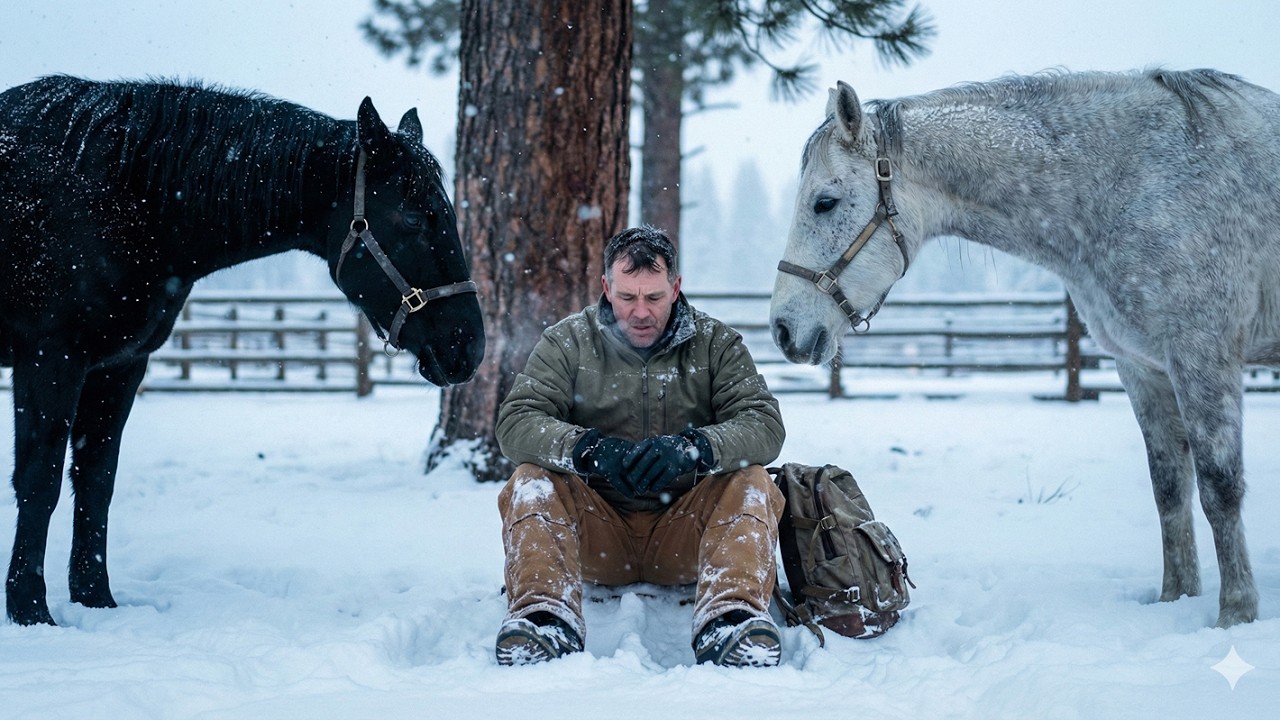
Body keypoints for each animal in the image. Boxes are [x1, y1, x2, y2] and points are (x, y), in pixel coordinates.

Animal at [0, 76, 485, 626]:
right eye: (411, 218)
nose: (469, 346)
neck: (121, 196)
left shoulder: (119, 366)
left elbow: (96, 480)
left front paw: (96, 600)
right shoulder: (49, 358)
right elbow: (39, 480)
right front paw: (30, 609)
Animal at [770, 68, 1280, 628]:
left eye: (825, 202)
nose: (783, 329)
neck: (1132, 182)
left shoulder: (1202, 357)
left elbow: (1218, 488)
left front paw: (1236, 613)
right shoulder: (1142, 368)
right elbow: (1168, 487)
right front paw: (1176, 600)